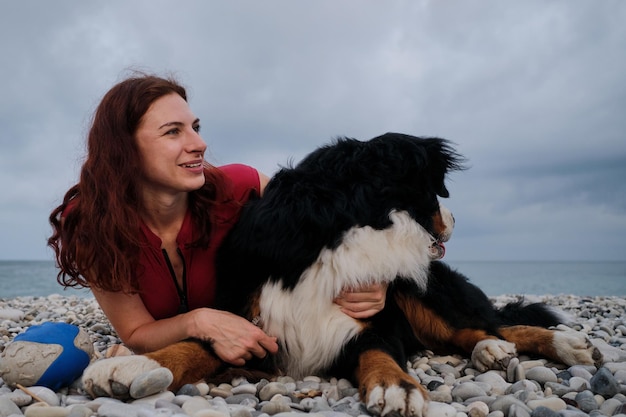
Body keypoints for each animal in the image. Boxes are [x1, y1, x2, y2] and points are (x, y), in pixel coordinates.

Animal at [83, 133, 600, 416]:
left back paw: (559, 344)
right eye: (435, 193)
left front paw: (397, 389)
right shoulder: (249, 321)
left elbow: (380, 353)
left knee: (491, 323)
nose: (456, 219)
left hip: (422, 288)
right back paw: (494, 350)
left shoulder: (371, 321)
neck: (344, 231)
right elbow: (194, 343)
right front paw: (132, 366)